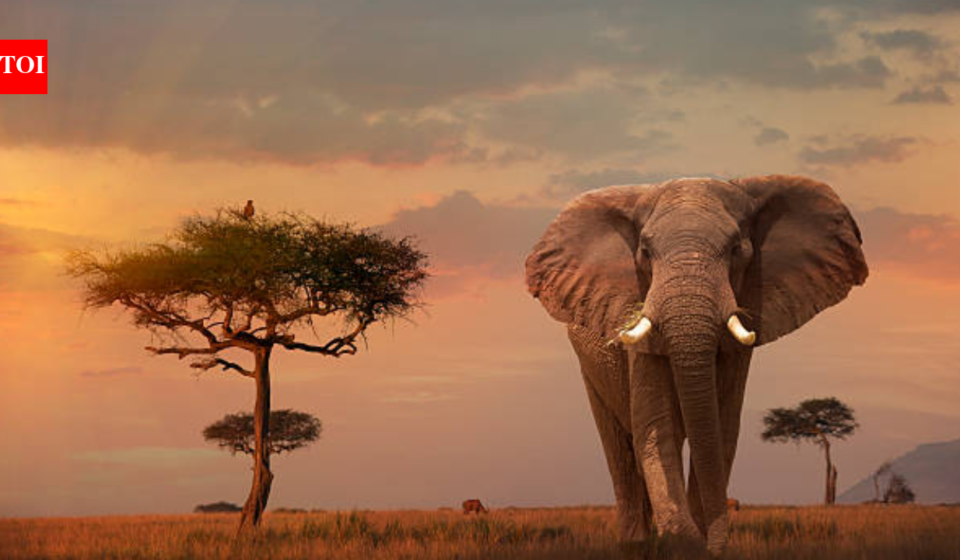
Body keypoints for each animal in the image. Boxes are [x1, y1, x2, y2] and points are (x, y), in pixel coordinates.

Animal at [525, 175, 867, 554]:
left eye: (736, 249)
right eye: (645, 252)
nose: (714, 544)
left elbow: (722, 428)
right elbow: (657, 426)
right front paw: (681, 541)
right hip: (589, 365)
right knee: (621, 449)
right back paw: (636, 544)